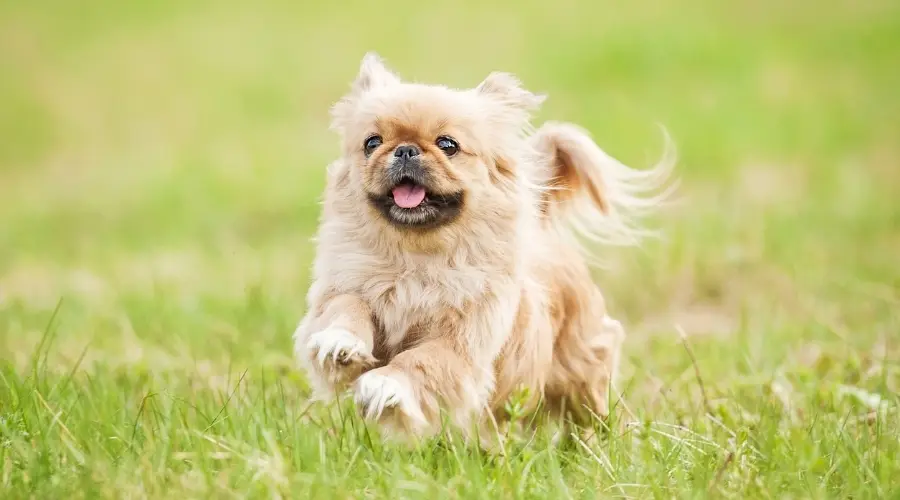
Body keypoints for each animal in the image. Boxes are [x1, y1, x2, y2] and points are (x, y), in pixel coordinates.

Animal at [296, 52, 676, 440]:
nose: (405, 149)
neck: (414, 259)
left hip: (582, 373)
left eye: (447, 145)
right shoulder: (345, 287)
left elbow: (419, 361)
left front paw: (386, 384)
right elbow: (345, 308)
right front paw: (340, 341)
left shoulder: (461, 345)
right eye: (372, 143)